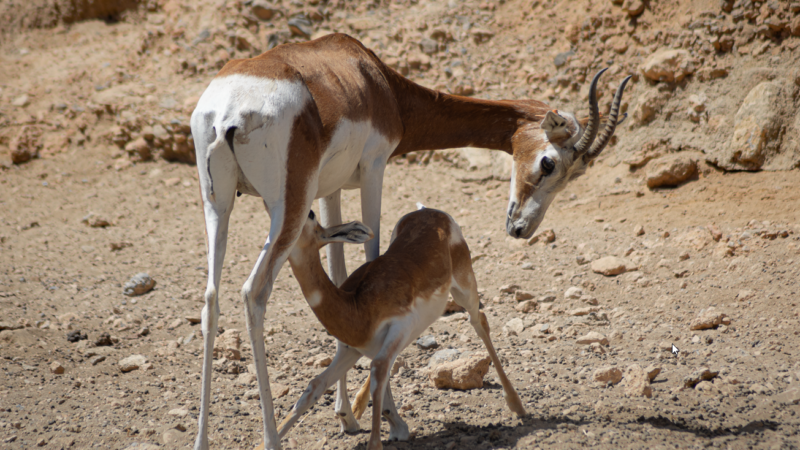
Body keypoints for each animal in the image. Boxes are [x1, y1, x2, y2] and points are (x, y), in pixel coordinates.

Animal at [278, 207, 528, 450]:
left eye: (309, 214)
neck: (356, 307)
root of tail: (430, 211)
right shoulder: (350, 350)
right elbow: (315, 386)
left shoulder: (397, 329)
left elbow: (378, 368)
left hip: (464, 289)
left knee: (480, 322)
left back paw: (517, 405)